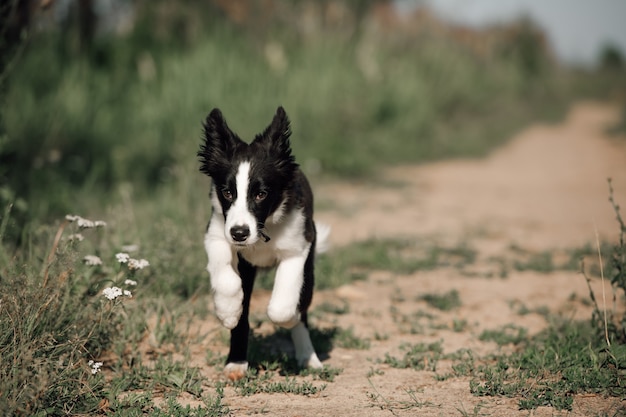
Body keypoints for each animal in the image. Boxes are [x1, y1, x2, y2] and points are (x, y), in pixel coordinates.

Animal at [199, 105, 326, 376]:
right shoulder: (216, 233)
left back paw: (308, 357)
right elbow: (226, 278)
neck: (263, 229)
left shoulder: (298, 246)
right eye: (227, 192)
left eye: (261, 194)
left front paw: (291, 317)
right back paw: (236, 362)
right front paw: (227, 312)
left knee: (303, 305)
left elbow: (282, 307)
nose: (239, 233)